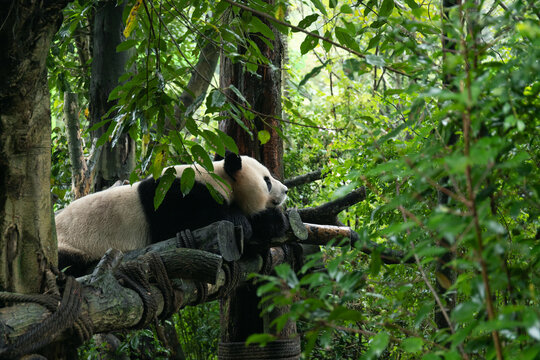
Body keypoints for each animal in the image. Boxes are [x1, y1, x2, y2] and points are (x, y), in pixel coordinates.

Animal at [57, 152, 288, 276]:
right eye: (267, 181)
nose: (285, 190)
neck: (218, 178)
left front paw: (275, 221)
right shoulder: (172, 195)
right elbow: (189, 218)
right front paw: (242, 221)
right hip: (71, 242)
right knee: (66, 262)